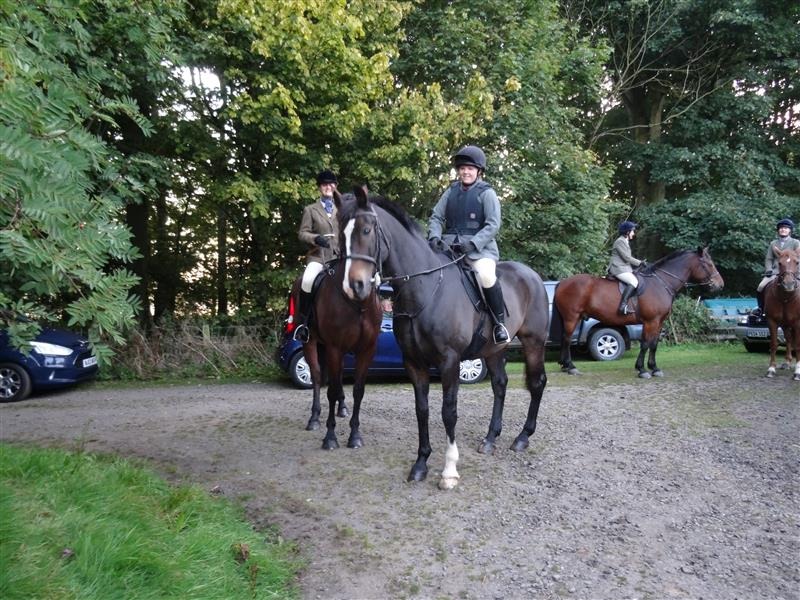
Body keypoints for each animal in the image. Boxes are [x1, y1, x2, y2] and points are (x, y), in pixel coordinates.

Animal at [293, 191, 383, 449]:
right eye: (342, 235)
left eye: (368, 230)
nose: (357, 286)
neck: (358, 305)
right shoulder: (334, 347)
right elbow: (330, 389)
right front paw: (330, 437)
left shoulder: (366, 349)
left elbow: (358, 390)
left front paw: (355, 435)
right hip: (311, 342)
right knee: (316, 376)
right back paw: (314, 418)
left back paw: (342, 408)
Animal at [339, 186, 550, 490]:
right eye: (340, 234)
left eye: (366, 230)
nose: (353, 286)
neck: (425, 288)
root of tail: (532, 276)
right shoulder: (413, 362)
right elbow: (422, 410)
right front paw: (420, 464)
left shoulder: (449, 361)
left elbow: (448, 412)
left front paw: (449, 472)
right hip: (494, 350)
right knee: (500, 385)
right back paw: (490, 438)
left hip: (534, 343)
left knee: (536, 384)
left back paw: (522, 437)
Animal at [553, 247, 724, 378]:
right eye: (709, 264)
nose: (720, 285)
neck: (661, 283)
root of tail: (563, 282)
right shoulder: (650, 321)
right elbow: (645, 344)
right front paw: (642, 370)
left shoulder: (659, 322)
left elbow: (654, 344)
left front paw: (654, 368)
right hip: (571, 318)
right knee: (567, 339)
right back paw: (571, 367)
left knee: (565, 339)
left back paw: (564, 366)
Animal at [763, 246, 800, 380]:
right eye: (779, 263)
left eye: (797, 262)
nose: (788, 284)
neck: (786, 297)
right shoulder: (772, 321)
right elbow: (774, 343)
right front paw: (771, 369)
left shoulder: (798, 323)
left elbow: (798, 345)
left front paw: (798, 372)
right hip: (785, 324)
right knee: (788, 339)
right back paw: (787, 362)